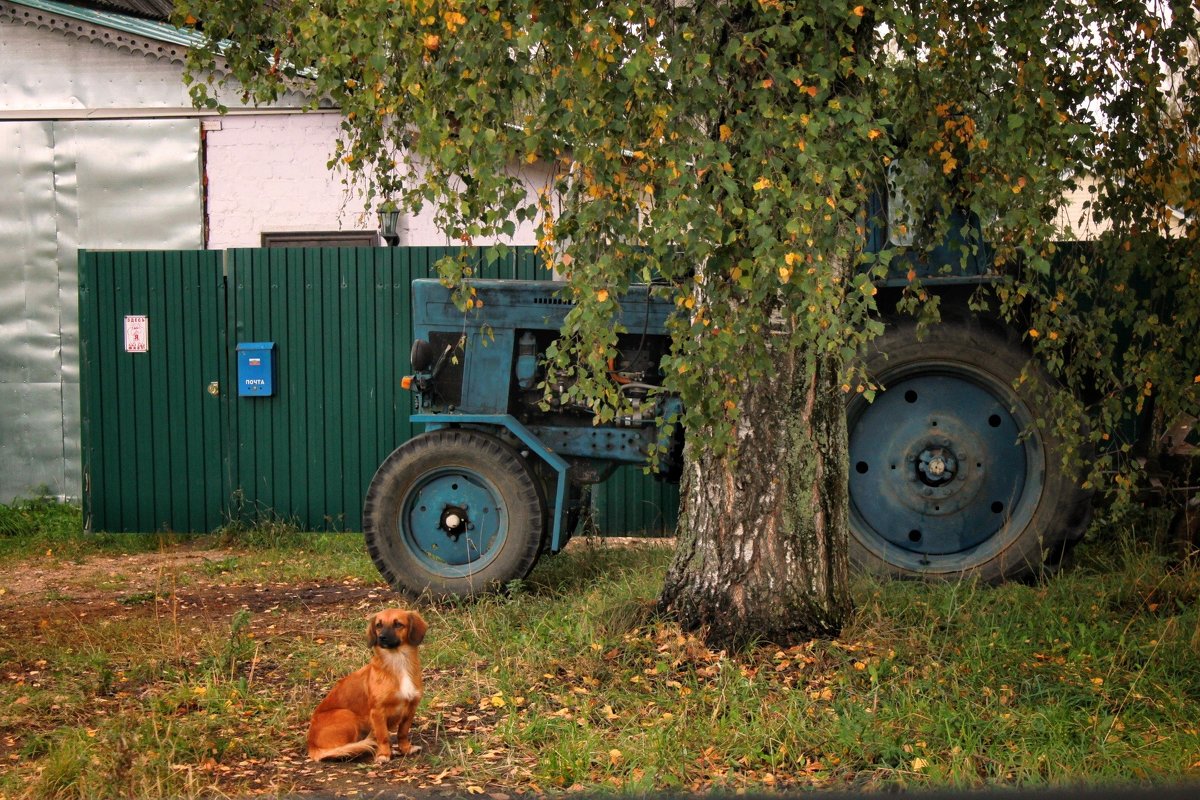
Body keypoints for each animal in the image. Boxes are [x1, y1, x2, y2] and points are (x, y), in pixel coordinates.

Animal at [304, 606, 427, 762]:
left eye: (398, 624)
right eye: (379, 625)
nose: (382, 638)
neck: (398, 662)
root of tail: (311, 745)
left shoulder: (411, 708)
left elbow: (403, 733)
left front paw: (406, 749)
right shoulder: (377, 711)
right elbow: (383, 736)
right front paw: (383, 754)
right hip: (346, 714)